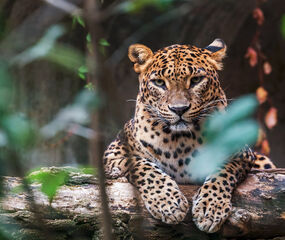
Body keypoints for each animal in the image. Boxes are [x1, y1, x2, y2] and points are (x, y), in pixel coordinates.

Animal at [103, 39, 274, 232]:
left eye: (196, 80)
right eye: (159, 82)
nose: (179, 109)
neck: (180, 140)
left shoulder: (241, 153)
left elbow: (222, 172)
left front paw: (210, 209)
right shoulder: (113, 153)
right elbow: (144, 167)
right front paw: (168, 203)